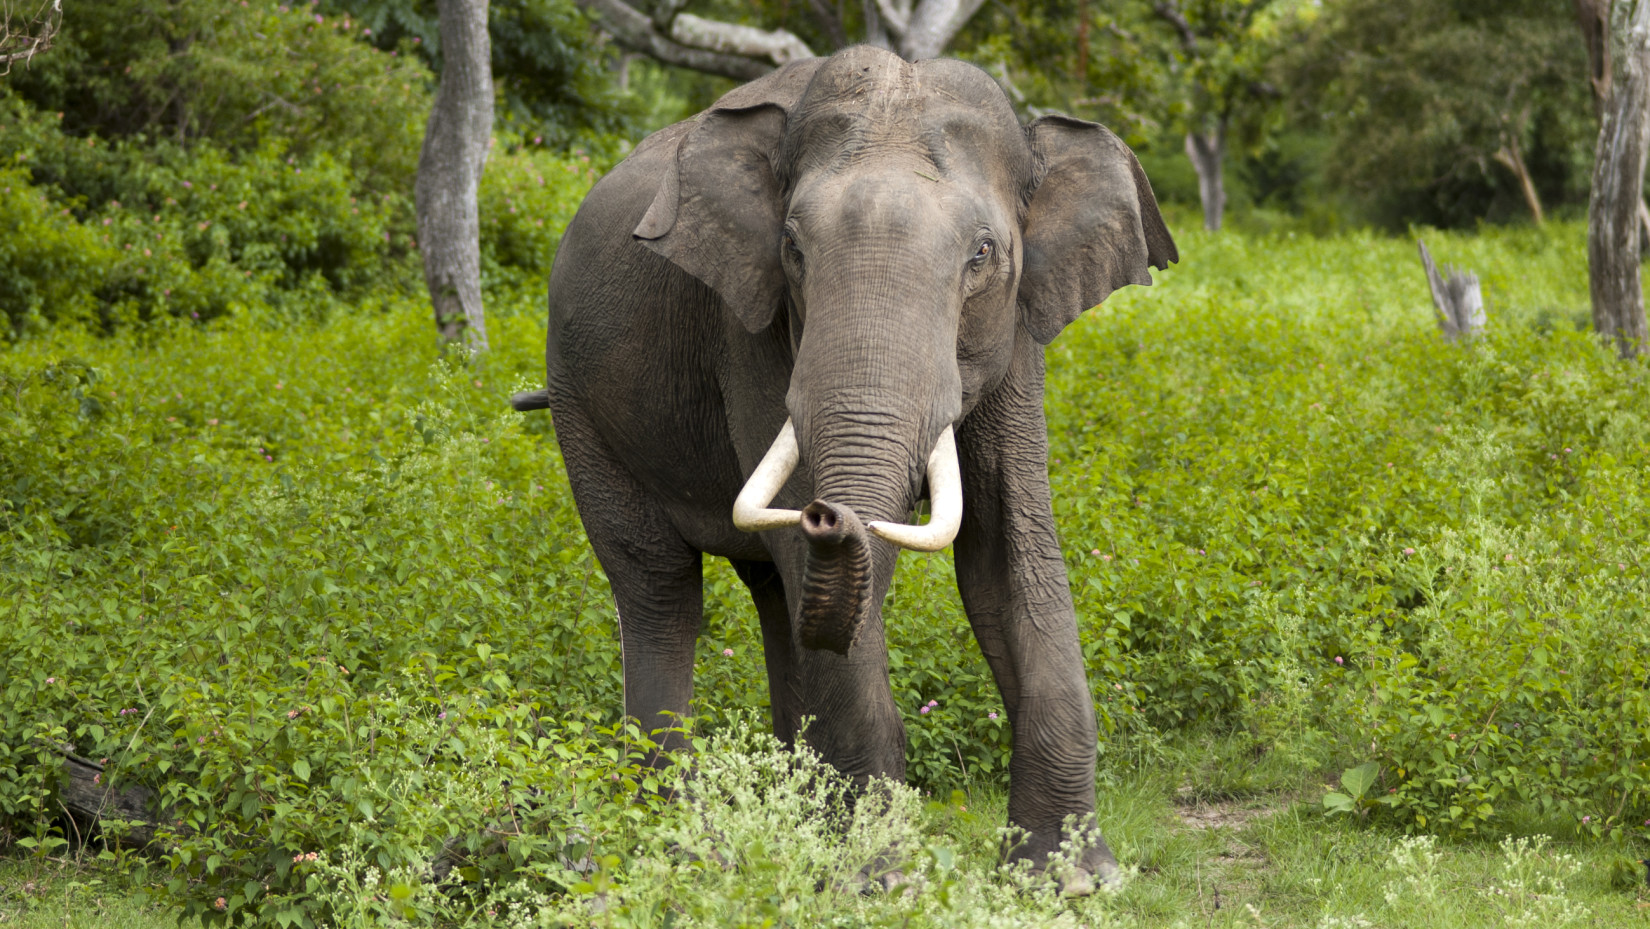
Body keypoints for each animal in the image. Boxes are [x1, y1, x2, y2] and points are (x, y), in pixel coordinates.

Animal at [511, 45, 1174, 891]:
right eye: (794, 250)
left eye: (983, 254)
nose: (831, 513)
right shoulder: (750, 328)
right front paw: (879, 881)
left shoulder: (1019, 331)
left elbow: (1006, 552)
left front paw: (1071, 879)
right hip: (580, 405)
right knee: (659, 586)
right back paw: (683, 845)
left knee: (774, 596)